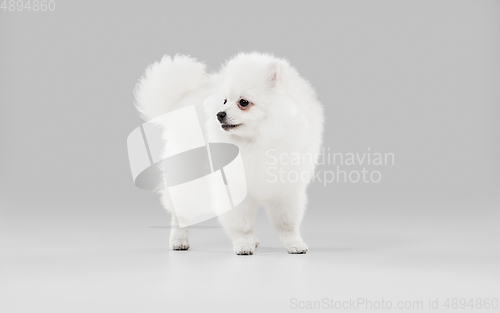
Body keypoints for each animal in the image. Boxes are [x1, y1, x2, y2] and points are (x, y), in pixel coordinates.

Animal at [133, 51, 324, 254]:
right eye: (224, 101)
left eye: (243, 102)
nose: (219, 114)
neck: (256, 141)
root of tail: (180, 102)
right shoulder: (234, 186)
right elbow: (241, 223)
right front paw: (243, 244)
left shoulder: (286, 187)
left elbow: (286, 223)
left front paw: (294, 244)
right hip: (189, 180)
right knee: (180, 212)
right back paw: (179, 240)